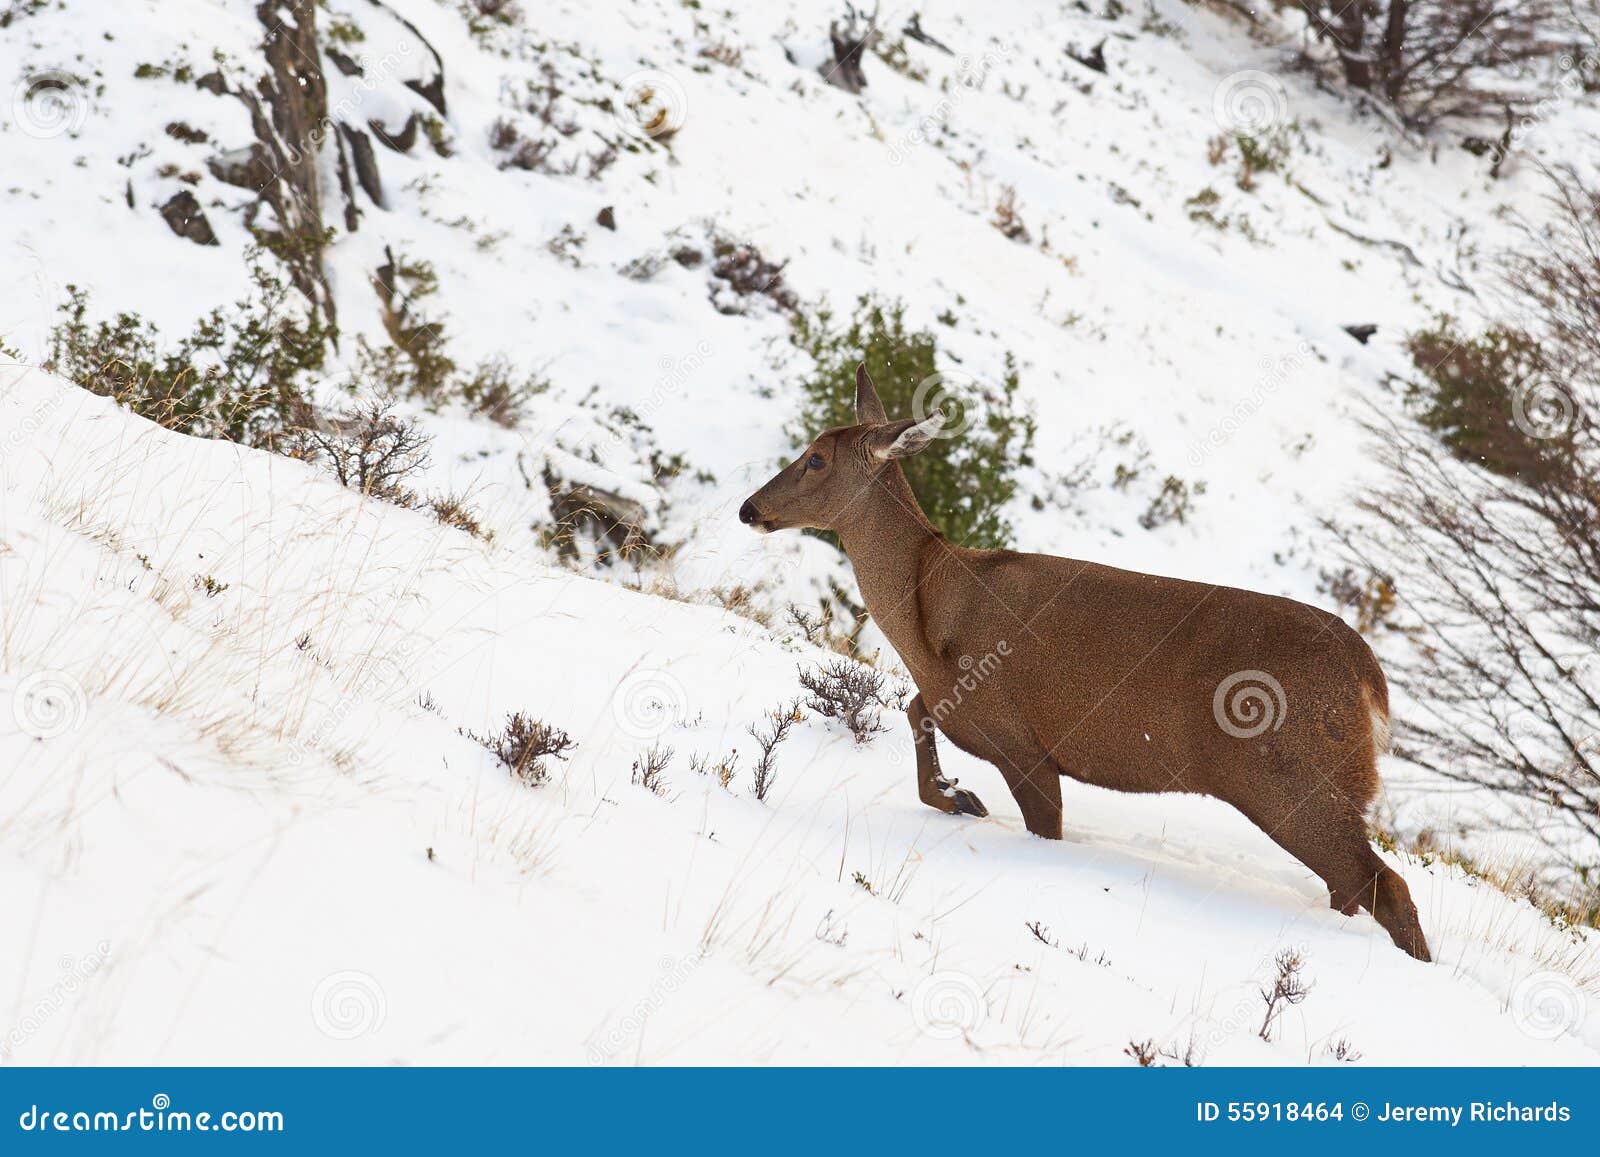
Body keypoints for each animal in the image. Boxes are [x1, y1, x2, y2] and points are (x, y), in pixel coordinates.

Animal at [742, 368, 1433, 960]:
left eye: (816, 458)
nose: (749, 507)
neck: (928, 613)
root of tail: (1371, 685)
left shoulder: (1023, 742)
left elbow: (1039, 821)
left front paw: (965, 798)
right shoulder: (959, 708)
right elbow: (915, 716)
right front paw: (960, 795)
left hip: (1287, 777)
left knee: (1385, 887)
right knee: (1353, 888)